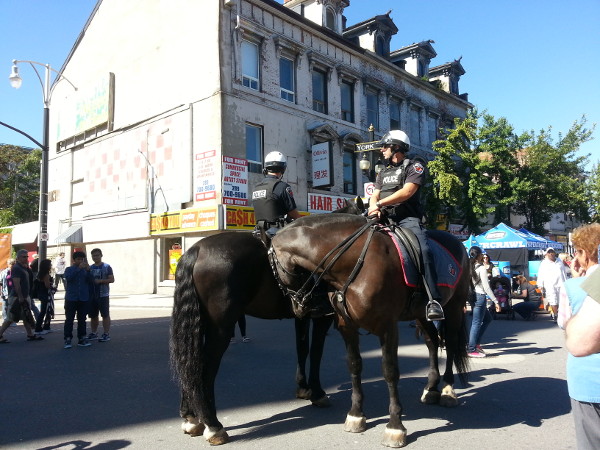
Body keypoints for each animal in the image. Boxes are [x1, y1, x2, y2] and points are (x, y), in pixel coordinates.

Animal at [270, 214, 472, 446]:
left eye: (273, 269)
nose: (300, 307)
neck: (355, 262)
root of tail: (458, 243)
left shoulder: (387, 327)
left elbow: (390, 372)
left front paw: (395, 426)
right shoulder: (347, 327)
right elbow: (354, 365)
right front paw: (356, 415)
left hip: (454, 307)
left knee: (451, 343)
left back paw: (448, 390)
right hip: (421, 313)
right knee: (433, 341)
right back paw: (431, 389)